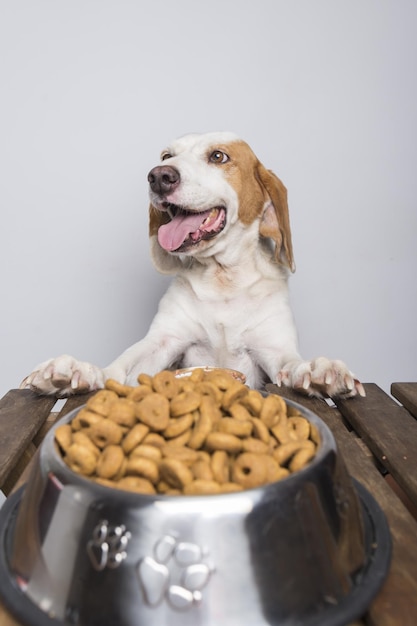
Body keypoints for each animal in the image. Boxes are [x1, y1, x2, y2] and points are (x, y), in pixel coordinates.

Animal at [20, 130, 364, 398]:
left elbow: (292, 364)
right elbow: (120, 366)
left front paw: (320, 370)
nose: (159, 176)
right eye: (166, 155)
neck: (222, 280)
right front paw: (77, 371)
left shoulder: (273, 349)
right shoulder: (164, 342)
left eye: (218, 156)